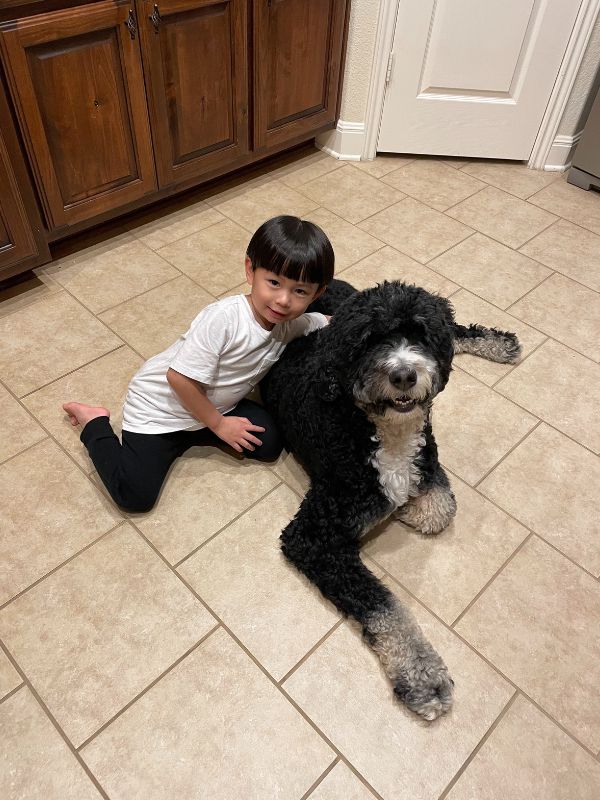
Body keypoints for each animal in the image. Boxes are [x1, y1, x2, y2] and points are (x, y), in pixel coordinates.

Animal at [262, 280, 520, 720]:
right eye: (367, 341)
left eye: (418, 335)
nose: (404, 374)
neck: (383, 429)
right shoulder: (313, 536)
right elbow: (384, 604)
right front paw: (422, 674)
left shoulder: (426, 459)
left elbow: (440, 507)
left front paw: (406, 508)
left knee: (456, 331)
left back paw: (499, 343)